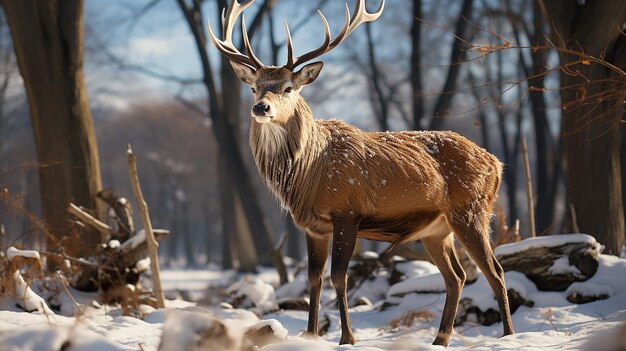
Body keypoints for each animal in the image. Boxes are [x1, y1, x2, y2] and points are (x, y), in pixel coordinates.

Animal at [206, 0, 512, 346]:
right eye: (254, 87)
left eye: (288, 88)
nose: (261, 108)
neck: (310, 173)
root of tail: (496, 163)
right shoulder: (312, 227)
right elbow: (313, 279)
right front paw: (310, 335)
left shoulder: (347, 213)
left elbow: (339, 277)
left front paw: (347, 338)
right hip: (436, 230)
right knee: (457, 277)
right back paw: (440, 339)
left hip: (472, 211)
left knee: (495, 271)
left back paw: (507, 336)